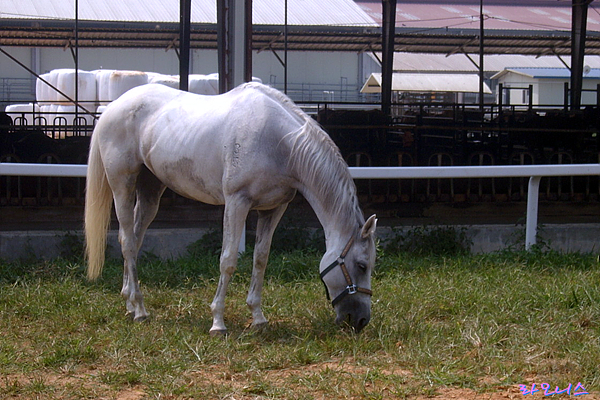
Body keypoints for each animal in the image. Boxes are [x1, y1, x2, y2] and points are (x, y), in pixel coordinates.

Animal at [85, 82, 376, 334]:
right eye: (362, 265)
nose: (361, 320)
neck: (280, 143)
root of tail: (114, 106)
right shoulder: (237, 202)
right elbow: (228, 261)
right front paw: (218, 322)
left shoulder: (273, 209)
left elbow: (261, 259)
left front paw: (258, 317)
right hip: (122, 185)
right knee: (127, 242)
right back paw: (140, 309)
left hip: (150, 192)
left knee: (133, 239)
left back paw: (129, 303)